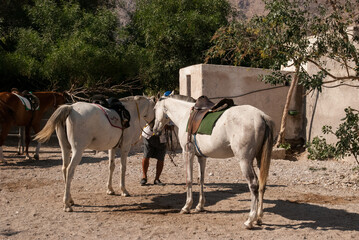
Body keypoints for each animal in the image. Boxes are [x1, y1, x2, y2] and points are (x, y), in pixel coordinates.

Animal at [153, 94, 274, 230]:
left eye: (154, 108)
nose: (155, 129)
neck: (184, 115)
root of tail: (261, 116)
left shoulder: (187, 152)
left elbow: (189, 179)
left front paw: (187, 206)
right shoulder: (201, 157)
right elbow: (201, 180)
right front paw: (200, 206)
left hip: (245, 161)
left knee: (253, 185)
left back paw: (250, 220)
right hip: (259, 159)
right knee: (262, 185)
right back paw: (259, 218)